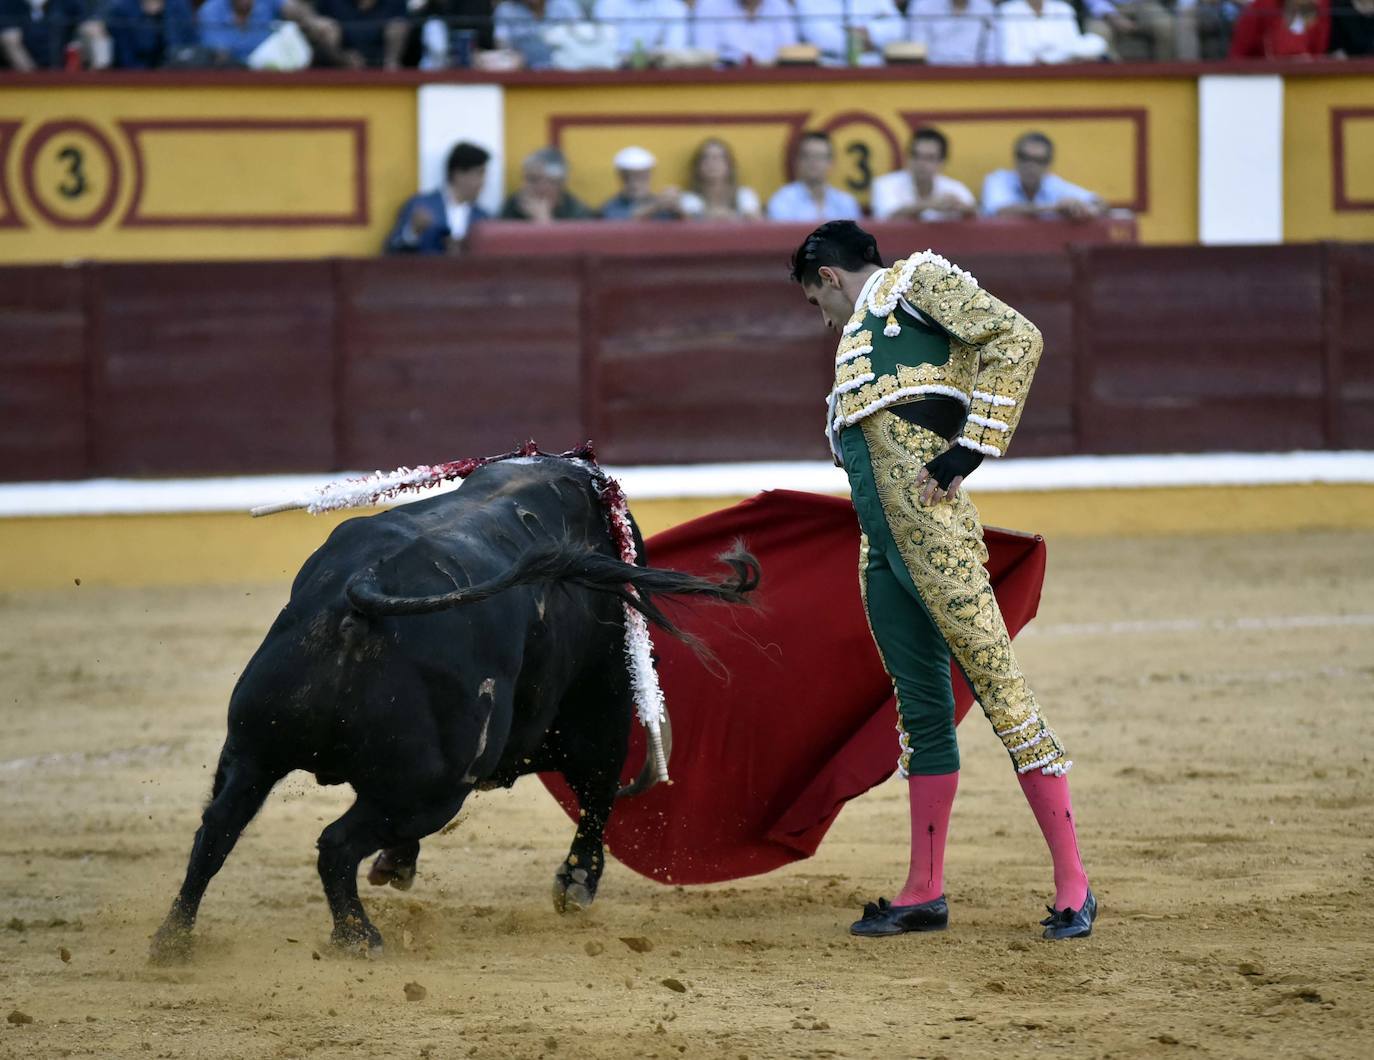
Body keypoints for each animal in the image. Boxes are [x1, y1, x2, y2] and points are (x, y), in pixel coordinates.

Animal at [154, 459, 758, 962]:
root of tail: (360, 593)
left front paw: (395, 865)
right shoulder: (598, 708)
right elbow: (598, 790)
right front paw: (577, 883)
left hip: (254, 748)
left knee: (217, 830)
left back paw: (172, 940)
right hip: (430, 789)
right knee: (335, 845)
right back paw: (360, 937)